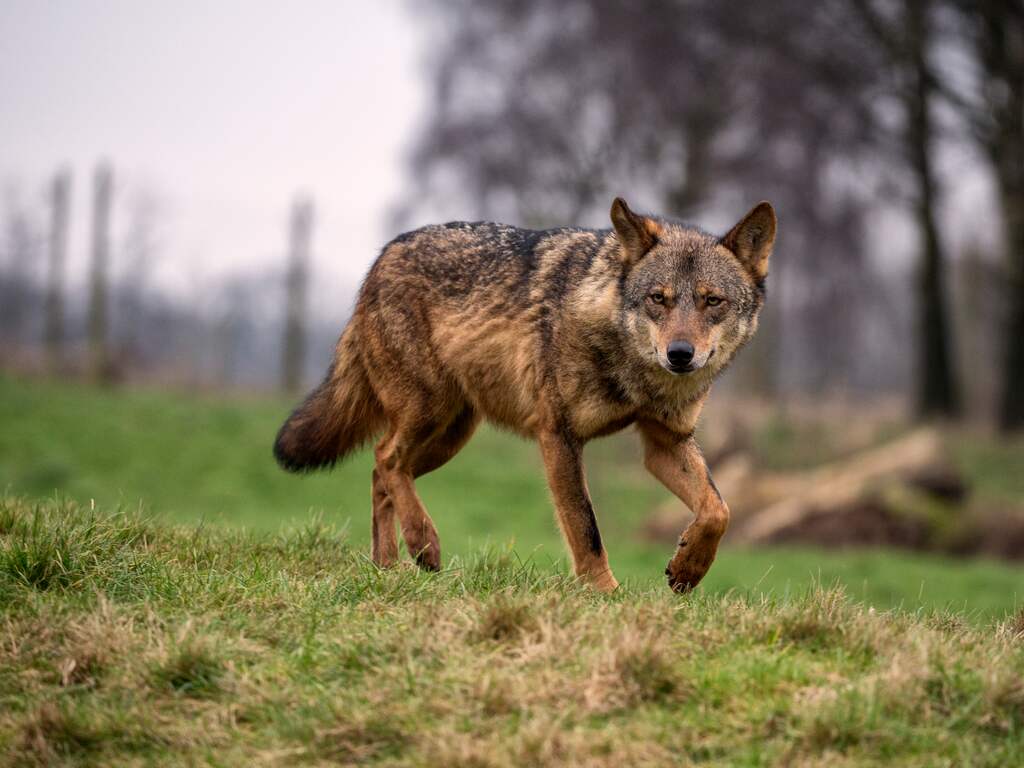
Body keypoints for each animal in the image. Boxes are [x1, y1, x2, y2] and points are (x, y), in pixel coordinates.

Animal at [274, 198, 776, 592]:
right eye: (659, 298)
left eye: (712, 301)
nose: (680, 354)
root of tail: (382, 256)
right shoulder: (558, 436)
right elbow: (586, 528)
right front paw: (606, 594)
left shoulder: (665, 442)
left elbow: (718, 509)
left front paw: (688, 568)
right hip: (428, 415)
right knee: (386, 457)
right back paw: (422, 544)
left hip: (450, 435)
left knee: (382, 472)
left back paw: (387, 567)